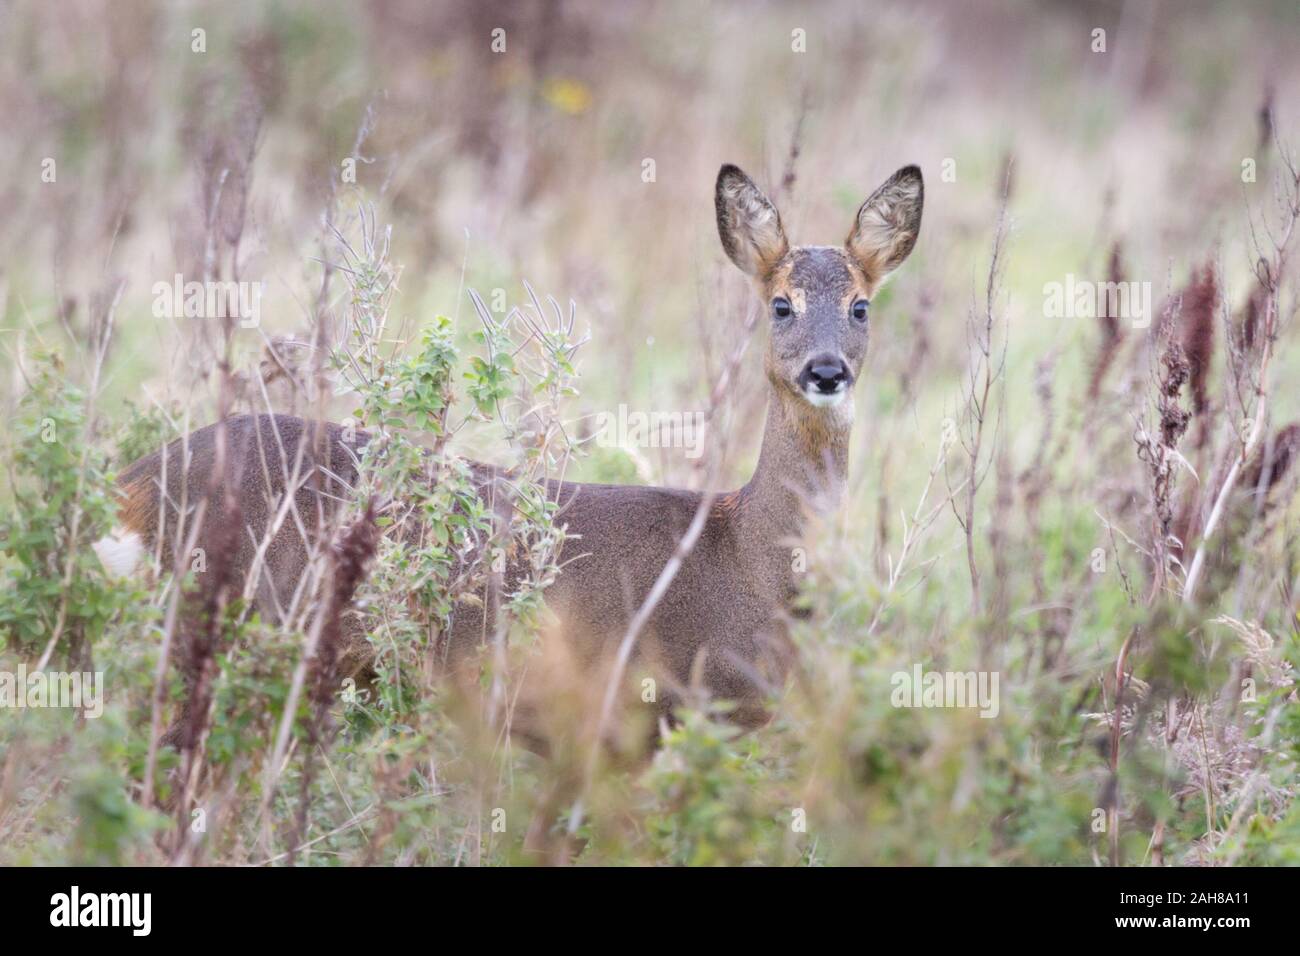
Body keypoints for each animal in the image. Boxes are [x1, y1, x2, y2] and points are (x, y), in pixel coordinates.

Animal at [114, 162, 925, 749]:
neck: (753, 561)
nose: (826, 370)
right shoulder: (648, 707)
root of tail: (131, 481)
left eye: (860, 306)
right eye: (781, 304)